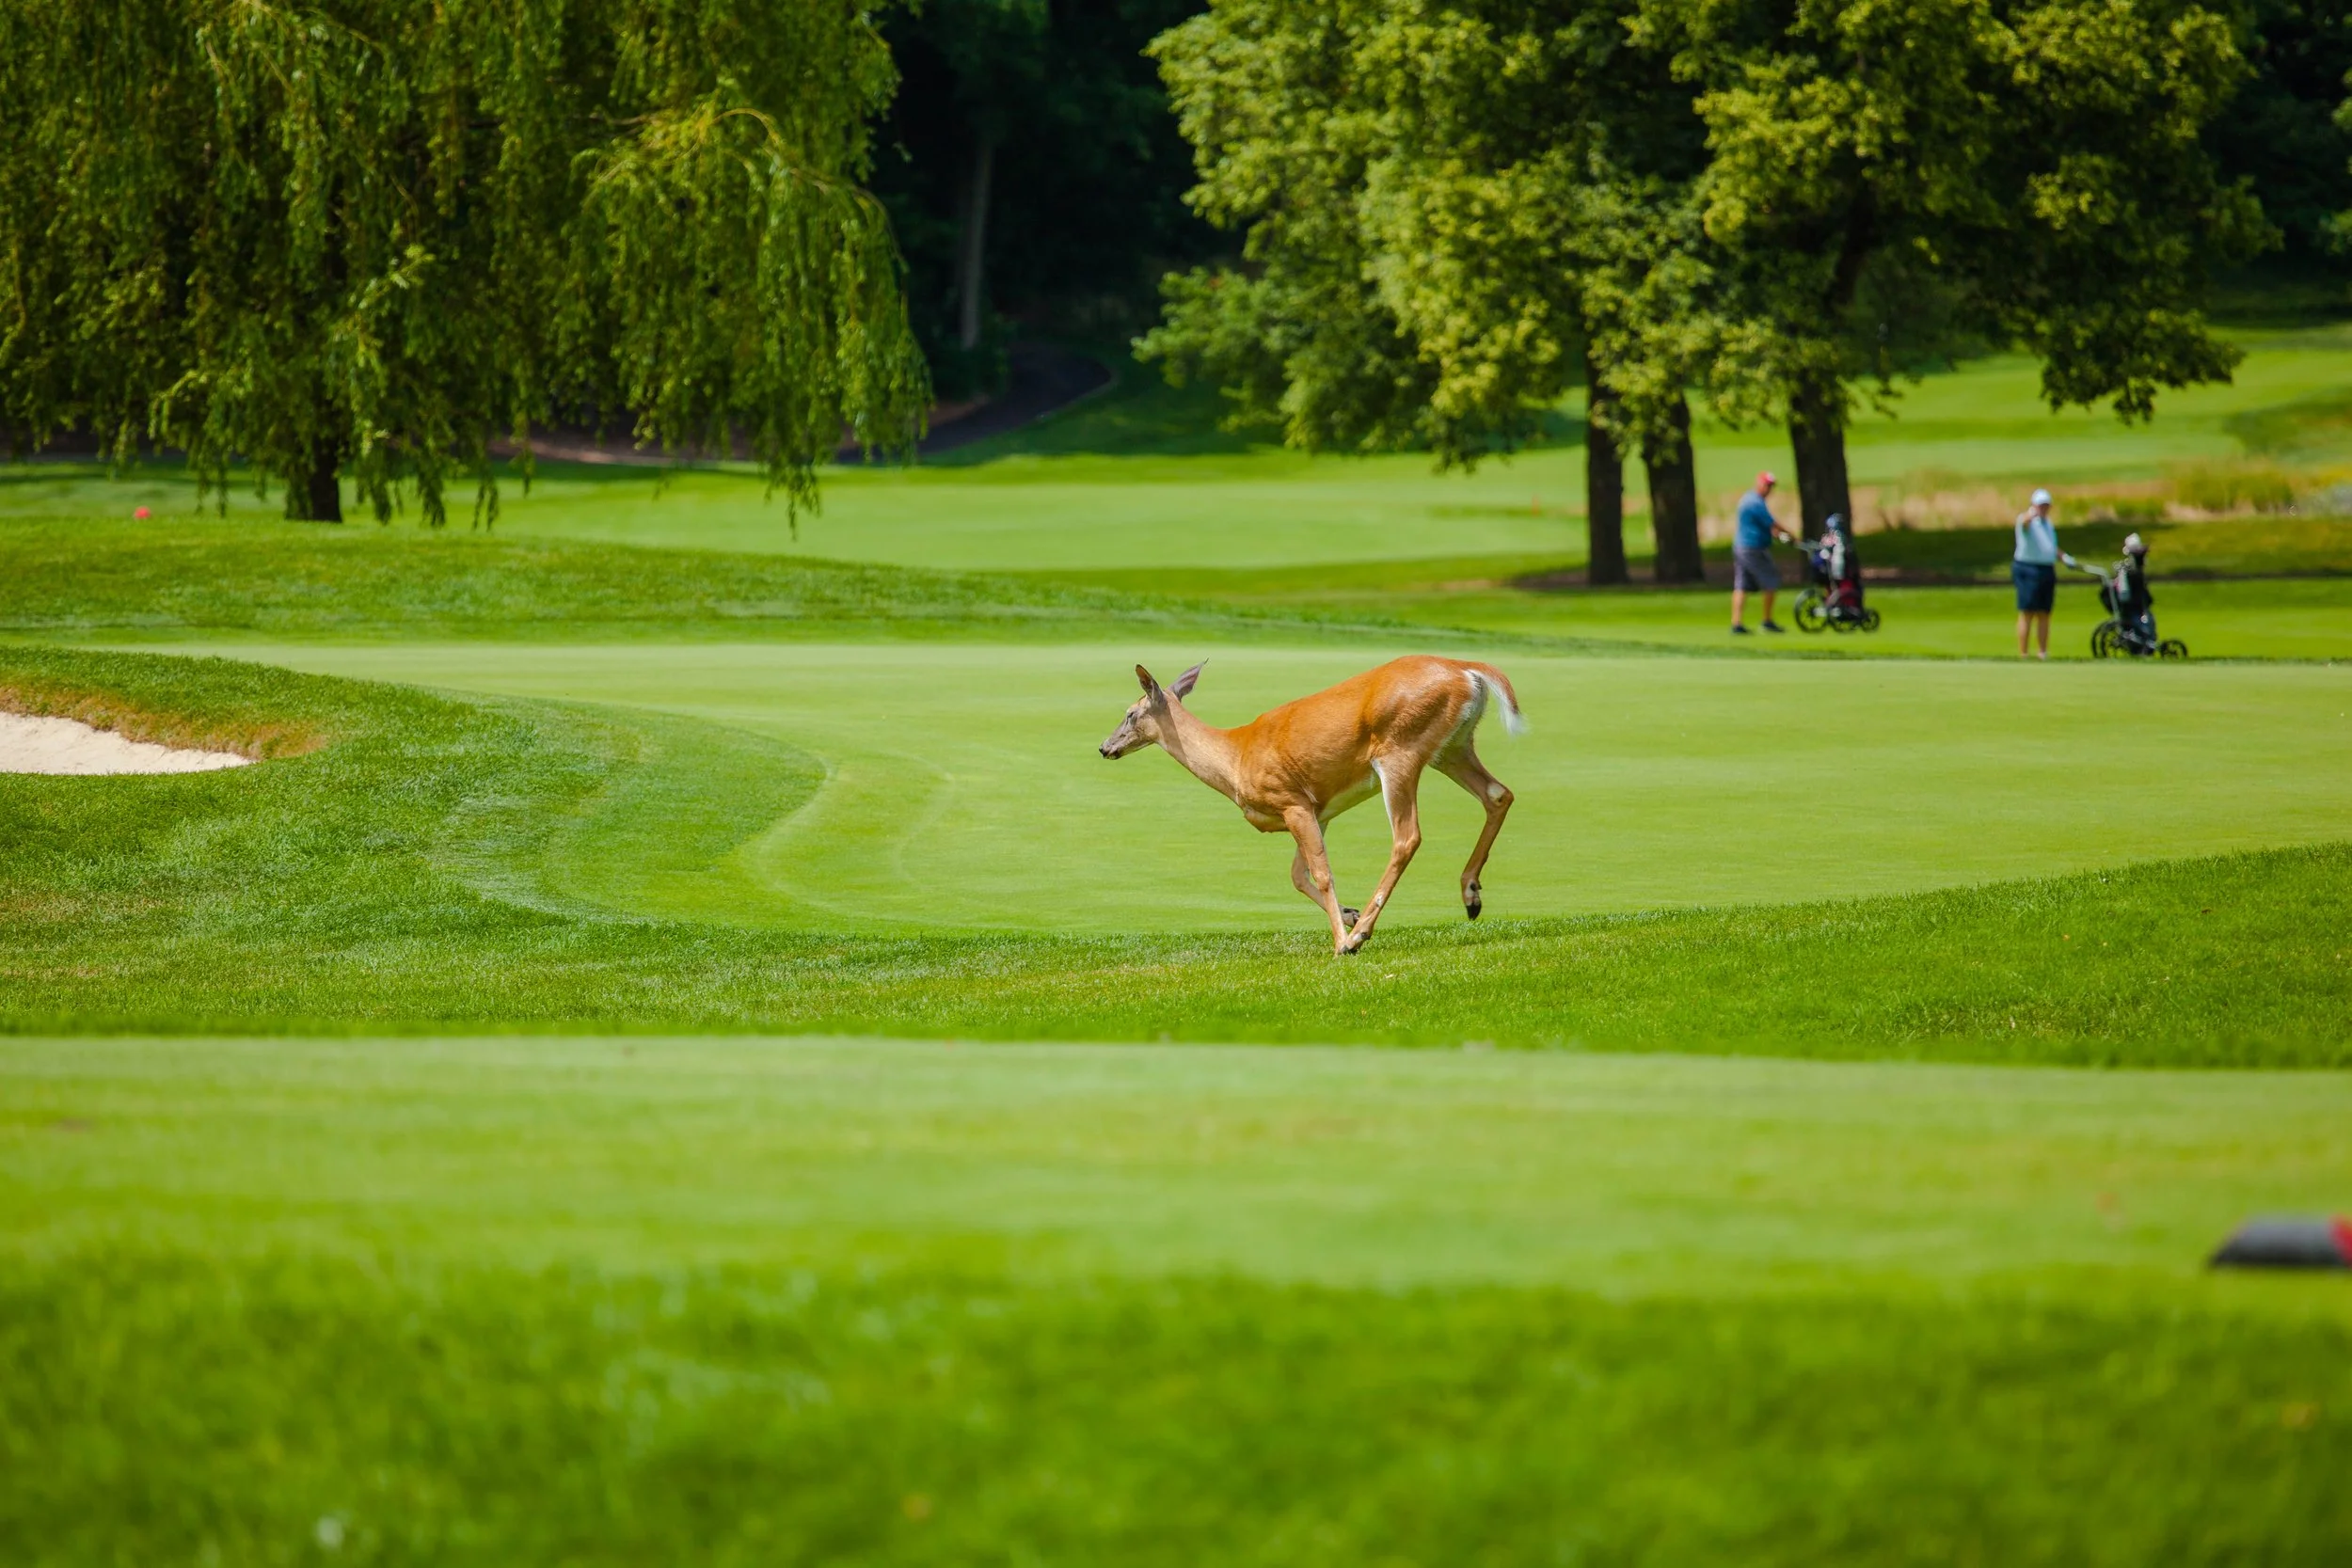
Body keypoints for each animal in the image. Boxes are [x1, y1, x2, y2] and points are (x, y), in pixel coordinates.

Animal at [1098, 655, 1522, 955]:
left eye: (1130, 713)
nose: (1104, 747)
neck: (1235, 758)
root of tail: (1467, 670)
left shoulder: (1292, 800)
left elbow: (1320, 873)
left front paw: (1342, 940)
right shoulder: (1319, 810)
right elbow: (1298, 875)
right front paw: (1348, 915)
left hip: (1400, 750)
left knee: (1408, 836)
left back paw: (1360, 936)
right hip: (1452, 746)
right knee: (1499, 793)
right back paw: (1470, 895)